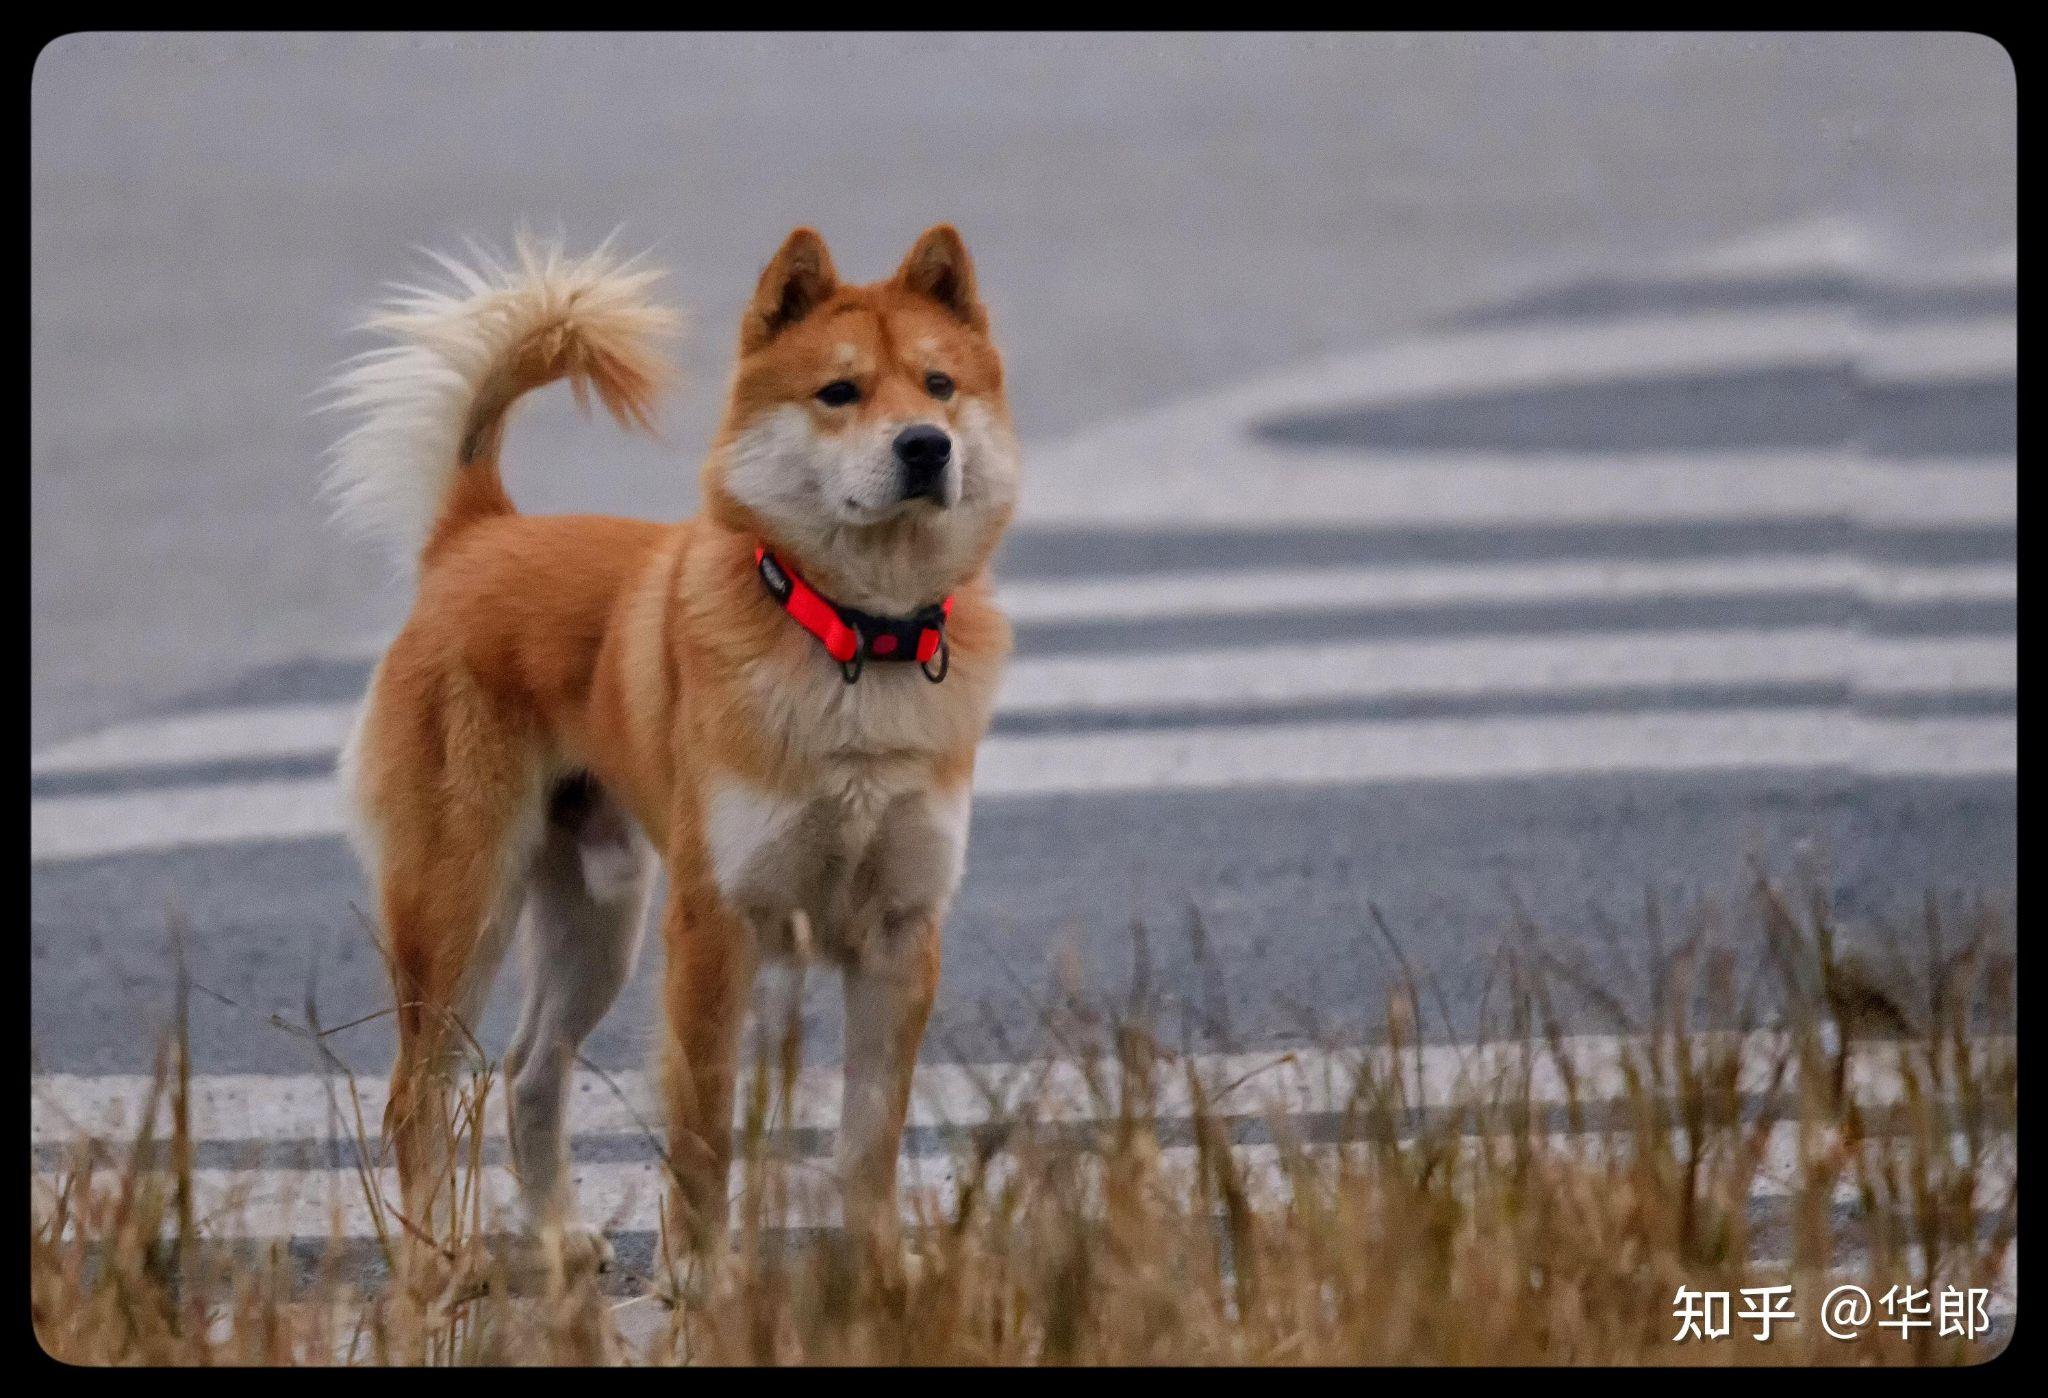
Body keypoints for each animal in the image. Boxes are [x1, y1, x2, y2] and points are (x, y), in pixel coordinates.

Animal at [325, 227, 1015, 1269]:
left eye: (939, 386)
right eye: (840, 392)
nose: (925, 446)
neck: (853, 638)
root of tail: (477, 534)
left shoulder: (901, 936)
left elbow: (870, 1134)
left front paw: (882, 1268)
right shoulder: (713, 927)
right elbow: (704, 1126)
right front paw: (697, 1273)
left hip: (598, 921)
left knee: (531, 1070)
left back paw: (558, 1236)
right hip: (461, 910)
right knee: (418, 1092)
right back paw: (436, 1261)